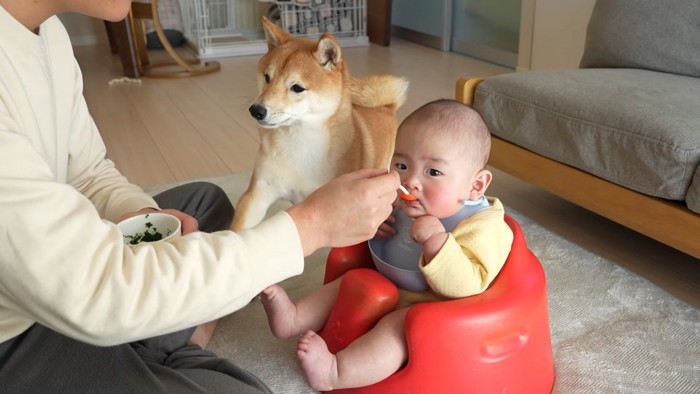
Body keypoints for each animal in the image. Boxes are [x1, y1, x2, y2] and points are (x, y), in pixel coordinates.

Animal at [232, 16, 408, 231]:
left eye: (297, 88)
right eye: (267, 78)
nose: (256, 110)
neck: (298, 141)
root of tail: (386, 106)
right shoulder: (258, 194)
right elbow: (238, 229)